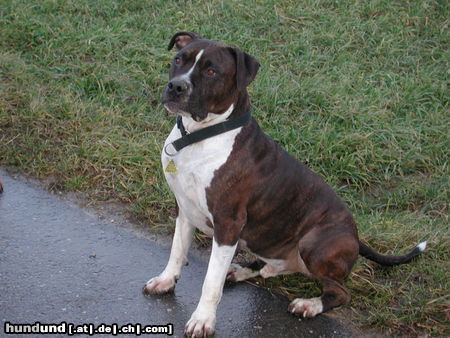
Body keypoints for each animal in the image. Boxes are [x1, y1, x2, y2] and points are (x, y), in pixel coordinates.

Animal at [143, 31, 426, 336]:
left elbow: (210, 282)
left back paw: (309, 304)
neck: (199, 137)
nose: (176, 86)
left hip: (314, 242)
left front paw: (203, 319)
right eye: (178, 60)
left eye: (211, 71)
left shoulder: (228, 224)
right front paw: (166, 280)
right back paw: (242, 270)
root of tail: (356, 236)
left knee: (340, 292)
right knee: (270, 266)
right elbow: (177, 250)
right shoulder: (184, 208)